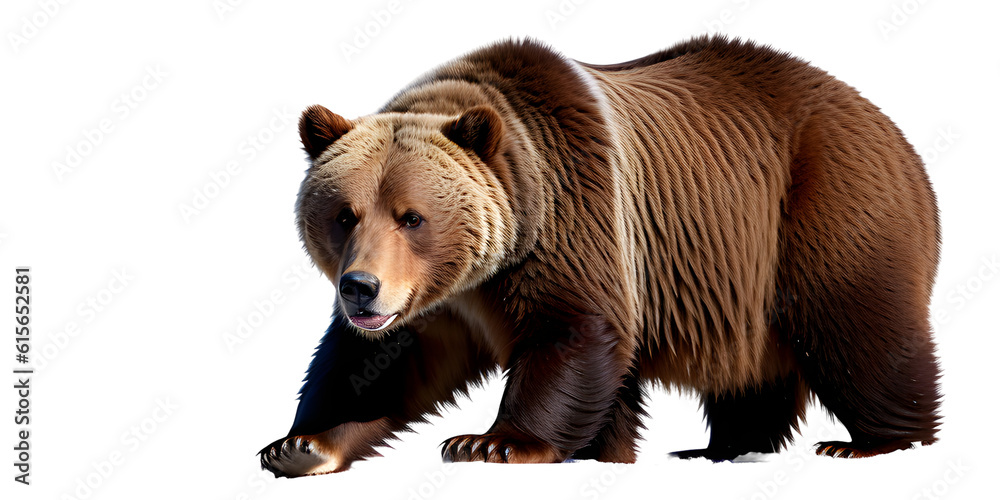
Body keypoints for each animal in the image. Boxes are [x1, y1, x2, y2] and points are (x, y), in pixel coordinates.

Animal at [259, 36, 942, 477]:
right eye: (343, 214)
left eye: (412, 216)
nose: (361, 287)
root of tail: (895, 131)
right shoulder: (438, 301)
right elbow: (379, 364)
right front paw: (299, 445)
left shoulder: (574, 217)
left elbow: (574, 328)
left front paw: (490, 443)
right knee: (750, 368)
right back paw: (720, 447)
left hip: (814, 209)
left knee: (858, 328)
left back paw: (873, 444)